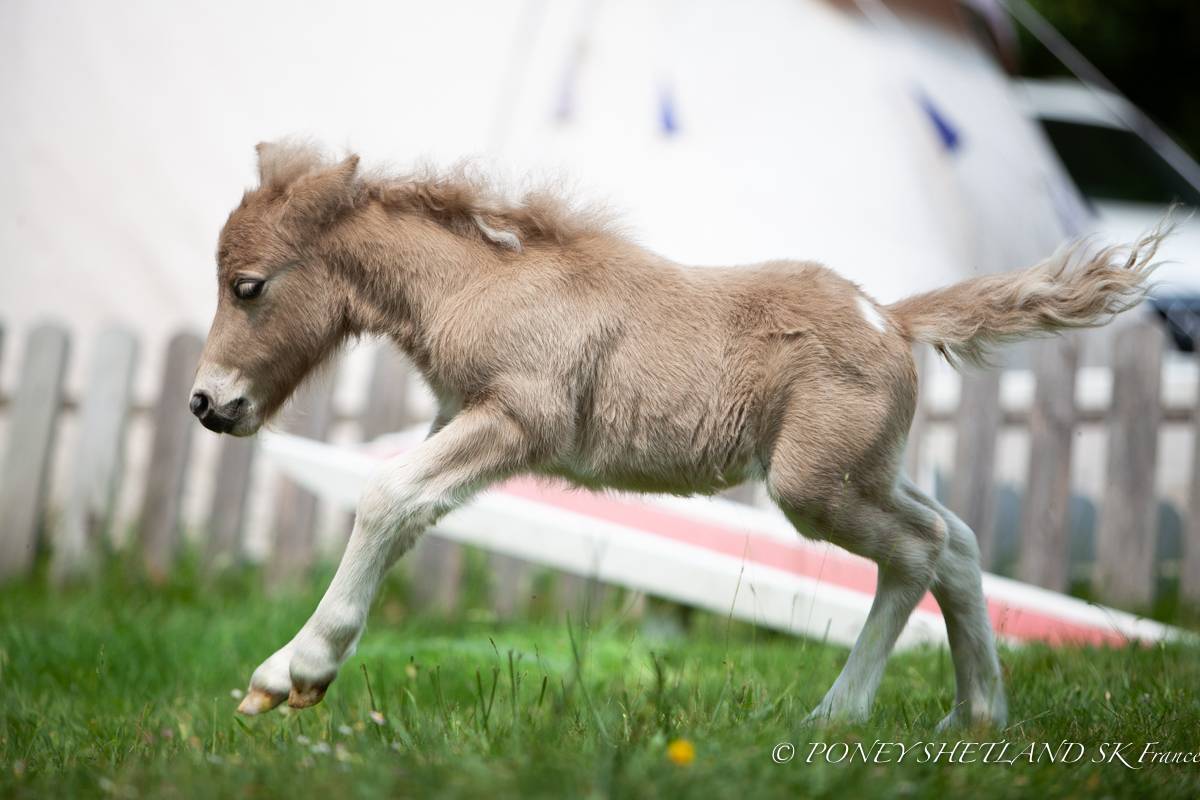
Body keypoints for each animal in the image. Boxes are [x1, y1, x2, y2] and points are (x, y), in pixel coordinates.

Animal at [192, 140, 1167, 728]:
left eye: (248, 285)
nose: (208, 403)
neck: (481, 283)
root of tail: (891, 317)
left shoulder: (517, 418)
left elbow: (385, 496)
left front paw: (291, 674)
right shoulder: (459, 418)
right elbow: (407, 511)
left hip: (814, 487)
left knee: (921, 550)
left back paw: (839, 717)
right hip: (864, 470)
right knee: (957, 540)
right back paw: (975, 718)